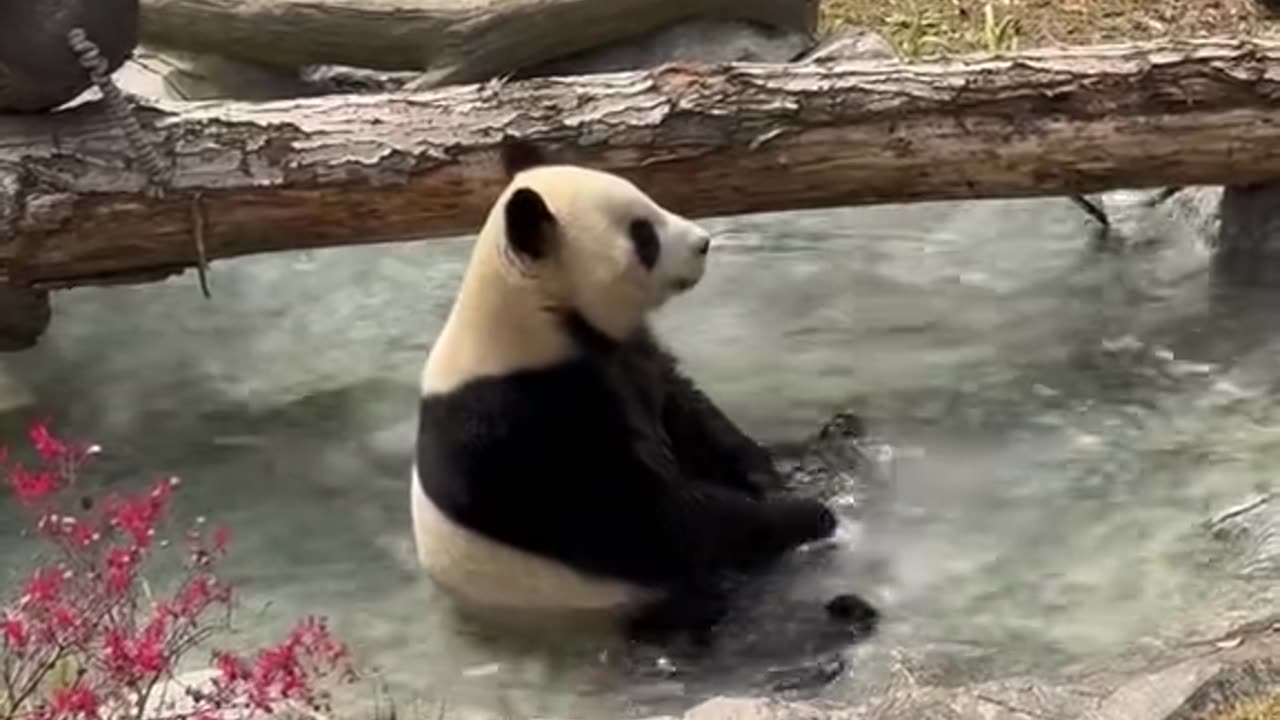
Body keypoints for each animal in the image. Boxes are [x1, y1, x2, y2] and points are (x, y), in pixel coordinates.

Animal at [409, 140, 880, 645]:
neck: (537, 318)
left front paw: (770, 477)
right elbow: (642, 521)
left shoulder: (628, 355)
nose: (703, 243)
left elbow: (691, 414)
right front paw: (806, 514)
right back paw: (842, 614)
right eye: (643, 234)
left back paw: (840, 443)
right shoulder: (519, 421)